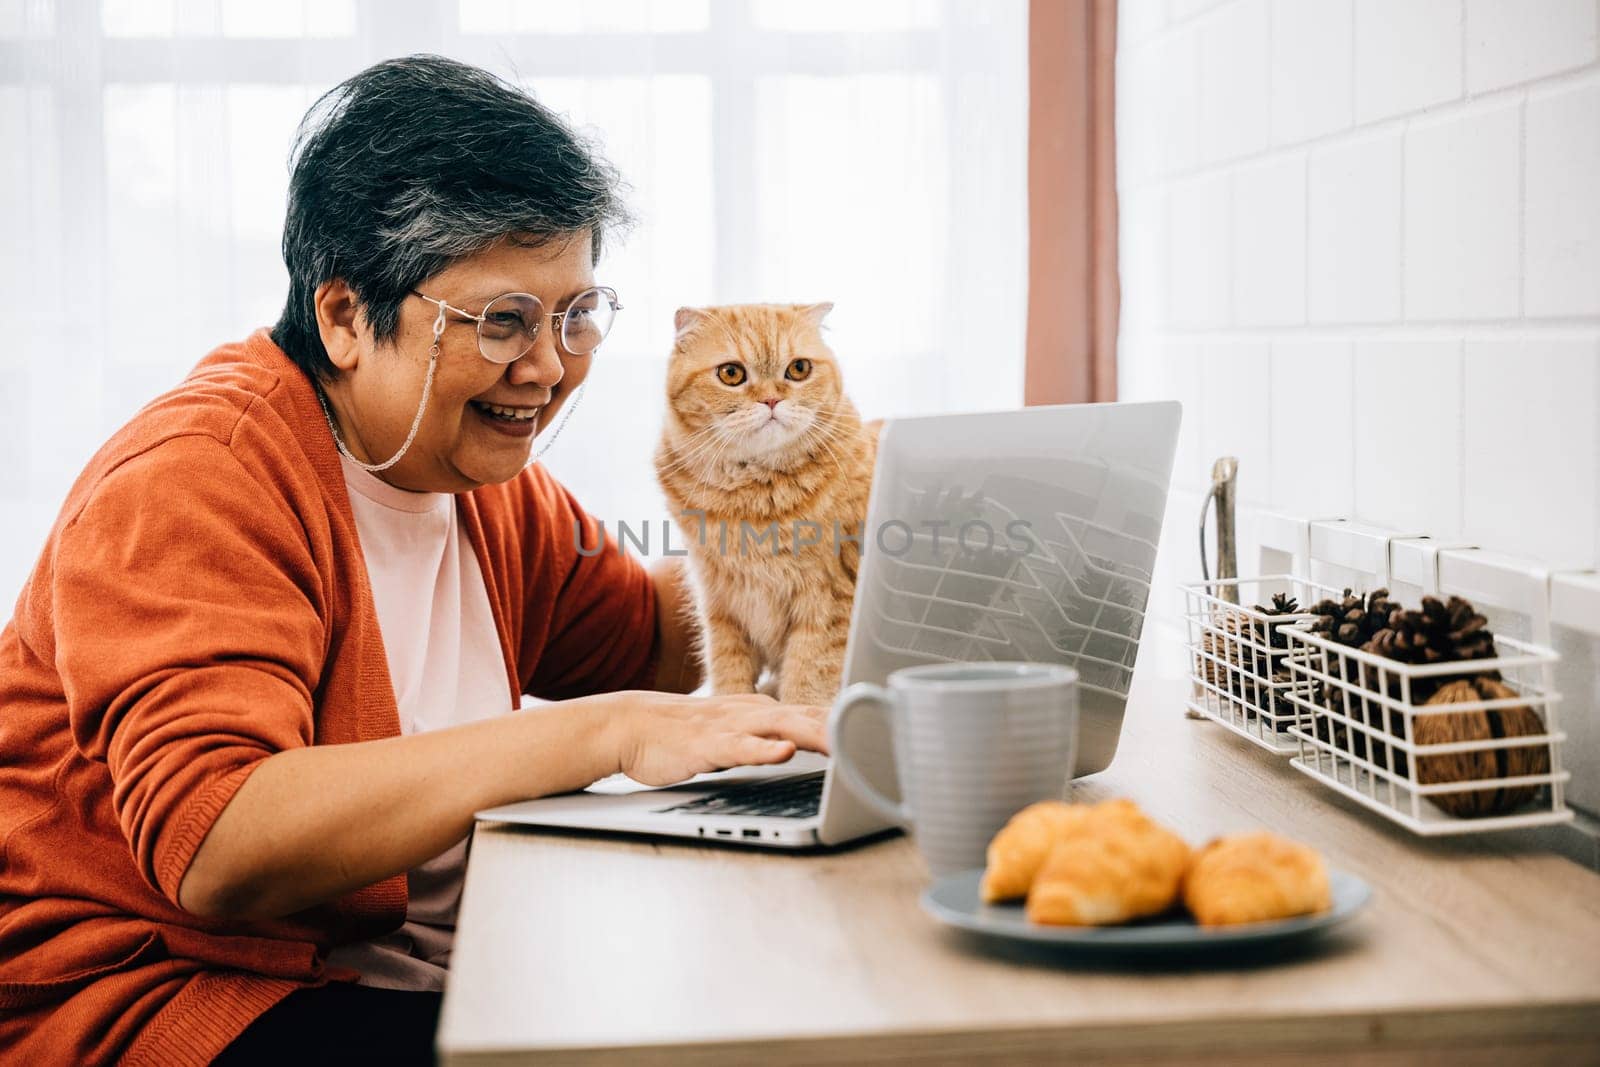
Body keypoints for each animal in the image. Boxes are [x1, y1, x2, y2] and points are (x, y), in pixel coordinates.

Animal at [656, 303, 883, 703]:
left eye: (799, 369)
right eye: (731, 373)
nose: (772, 400)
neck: (754, 495)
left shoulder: (830, 598)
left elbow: (808, 676)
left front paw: (797, 708)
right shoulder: (720, 602)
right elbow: (729, 673)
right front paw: (733, 703)